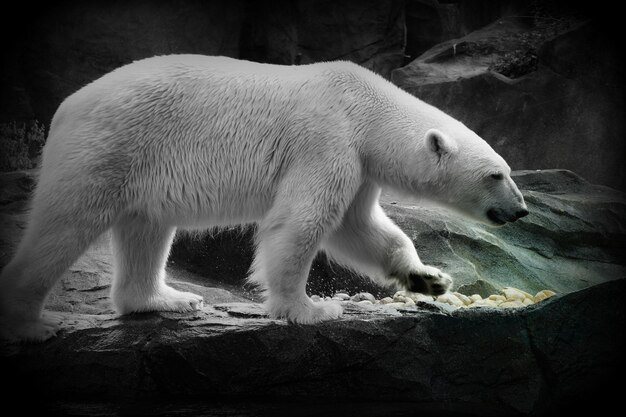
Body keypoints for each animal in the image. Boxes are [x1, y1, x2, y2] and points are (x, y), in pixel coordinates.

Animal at [0, 55, 528, 342]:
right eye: (495, 174)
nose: (521, 209)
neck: (366, 107)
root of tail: (67, 107)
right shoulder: (325, 139)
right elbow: (301, 224)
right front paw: (310, 309)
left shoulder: (358, 162)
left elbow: (359, 229)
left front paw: (429, 279)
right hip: (107, 149)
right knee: (64, 226)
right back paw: (29, 323)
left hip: (138, 168)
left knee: (146, 230)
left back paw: (166, 299)